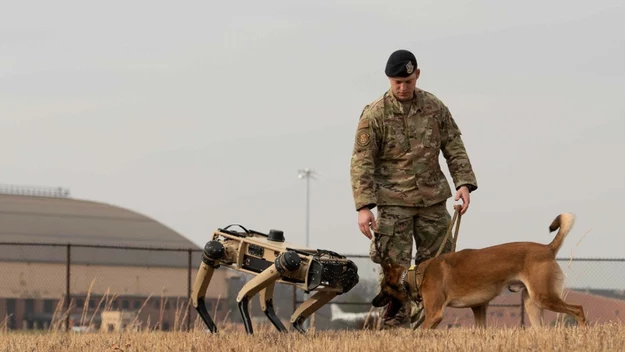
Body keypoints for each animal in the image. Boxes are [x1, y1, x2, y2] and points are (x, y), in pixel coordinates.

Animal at [372, 212, 588, 330]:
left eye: (382, 288)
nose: (373, 302)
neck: (417, 275)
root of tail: (548, 248)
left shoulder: (434, 314)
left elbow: (418, 332)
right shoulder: (479, 307)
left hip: (544, 297)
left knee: (578, 309)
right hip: (532, 303)